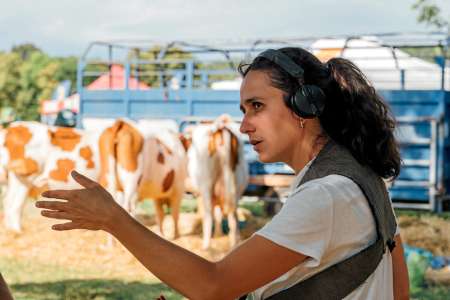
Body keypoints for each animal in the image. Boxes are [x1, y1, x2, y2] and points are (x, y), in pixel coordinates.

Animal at [187, 116, 250, 250]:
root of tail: (221, 128)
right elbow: (219, 215)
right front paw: (218, 234)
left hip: (206, 185)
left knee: (208, 216)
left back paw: (206, 246)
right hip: (236, 187)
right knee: (233, 217)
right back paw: (233, 244)